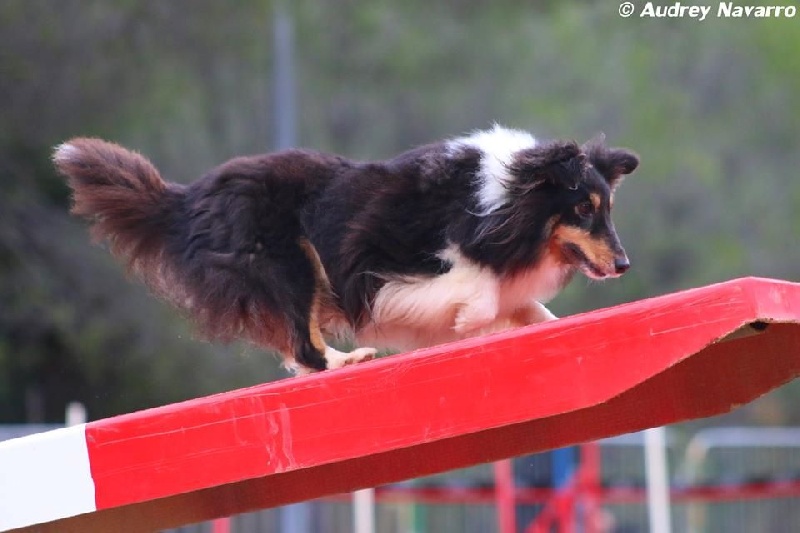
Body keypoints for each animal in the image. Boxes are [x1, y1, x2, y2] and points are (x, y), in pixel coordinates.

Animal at [51, 124, 636, 374]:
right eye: (583, 208)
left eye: (607, 207)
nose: (624, 264)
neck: (502, 199)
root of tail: (189, 196)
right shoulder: (382, 264)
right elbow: (479, 293)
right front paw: (467, 321)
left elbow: (527, 305)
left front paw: (546, 325)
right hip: (292, 261)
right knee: (305, 346)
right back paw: (347, 357)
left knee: (298, 348)